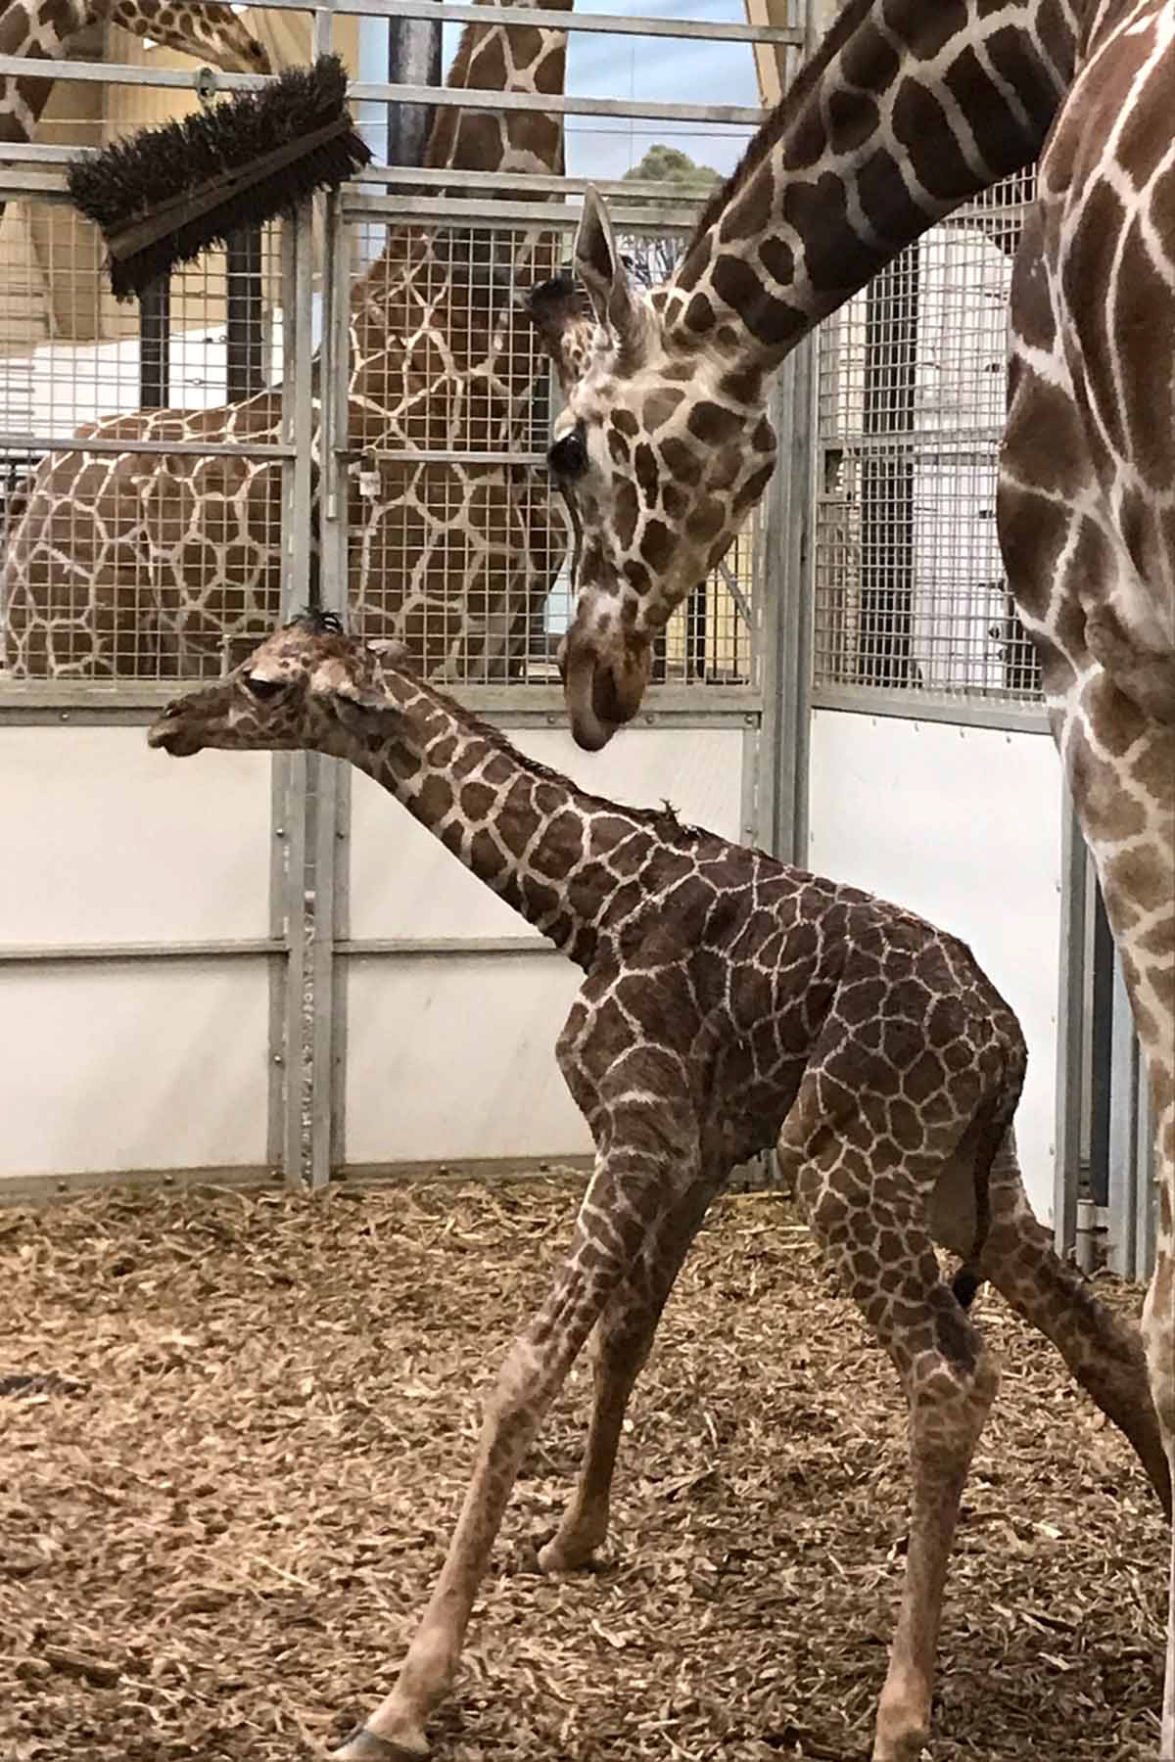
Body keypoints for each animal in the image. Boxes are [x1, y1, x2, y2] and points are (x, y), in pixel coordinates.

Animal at [147, 609, 1169, 1762]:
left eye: (262, 684)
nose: (169, 719)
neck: (592, 900)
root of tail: (1005, 1044)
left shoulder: (635, 1132)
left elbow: (526, 1370)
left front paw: (404, 1700)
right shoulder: (692, 1153)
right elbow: (625, 1337)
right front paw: (572, 1540)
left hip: (844, 1167)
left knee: (951, 1372)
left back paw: (899, 1713)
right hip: (964, 1180)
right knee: (1101, 1336)